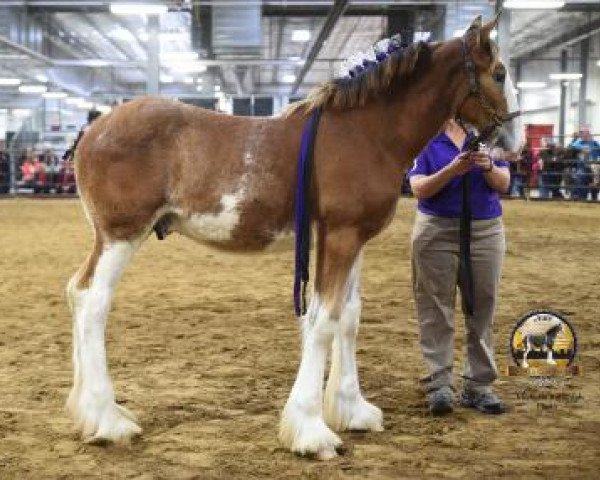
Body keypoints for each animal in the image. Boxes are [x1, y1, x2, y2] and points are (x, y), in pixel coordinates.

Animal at [65, 14, 524, 458]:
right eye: (499, 73)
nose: (515, 142)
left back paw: (88, 412)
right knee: (93, 302)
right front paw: (311, 430)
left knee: (77, 291)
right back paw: (109, 420)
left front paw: (352, 410)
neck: (367, 131)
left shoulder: (351, 241)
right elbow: (323, 321)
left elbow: (349, 318)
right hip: (122, 235)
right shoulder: (340, 237)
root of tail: (93, 130)